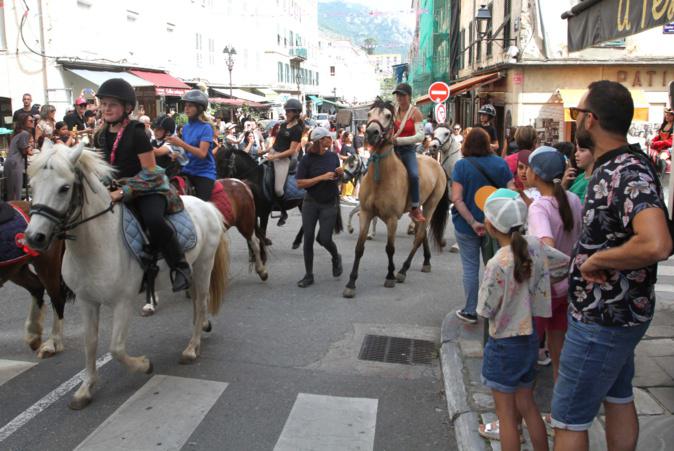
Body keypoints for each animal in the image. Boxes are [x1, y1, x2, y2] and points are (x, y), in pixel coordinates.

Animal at [0, 203, 69, 358]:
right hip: (17, 270)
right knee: (36, 287)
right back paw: (33, 335)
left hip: (47, 265)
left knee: (58, 298)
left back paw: (53, 343)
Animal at [25, 143, 230, 412]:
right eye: (31, 185)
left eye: (64, 188)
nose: (34, 237)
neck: (95, 244)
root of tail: (207, 206)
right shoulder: (86, 301)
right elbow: (90, 342)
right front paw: (85, 389)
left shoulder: (123, 301)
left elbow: (116, 349)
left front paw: (144, 365)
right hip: (194, 268)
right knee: (196, 301)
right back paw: (201, 327)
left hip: (205, 264)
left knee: (203, 300)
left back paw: (191, 348)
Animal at [344, 99, 448, 298]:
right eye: (369, 114)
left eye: (388, 115)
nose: (371, 133)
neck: (381, 175)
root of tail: (437, 164)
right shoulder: (366, 213)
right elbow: (359, 247)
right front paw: (351, 283)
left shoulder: (392, 219)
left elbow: (389, 248)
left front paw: (390, 276)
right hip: (420, 208)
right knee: (421, 232)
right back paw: (426, 261)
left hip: (431, 204)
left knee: (420, 235)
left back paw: (403, 270)